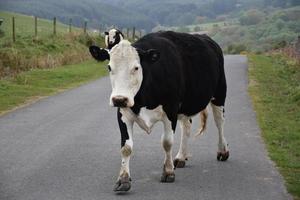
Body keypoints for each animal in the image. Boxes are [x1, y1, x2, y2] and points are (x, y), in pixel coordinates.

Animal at [89, 30, 230, 192]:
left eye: (136, 67)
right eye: (109, 67)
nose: (119, 99)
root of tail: (206, 38)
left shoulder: (171, 110)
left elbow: (167, 142)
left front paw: (168, 172)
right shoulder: (123, 114)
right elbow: (126, 147)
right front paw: (123, 179)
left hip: (219, 93)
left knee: (220, 122)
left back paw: (223, 151)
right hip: (186, 106)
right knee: (186, 126)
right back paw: (181, 157)